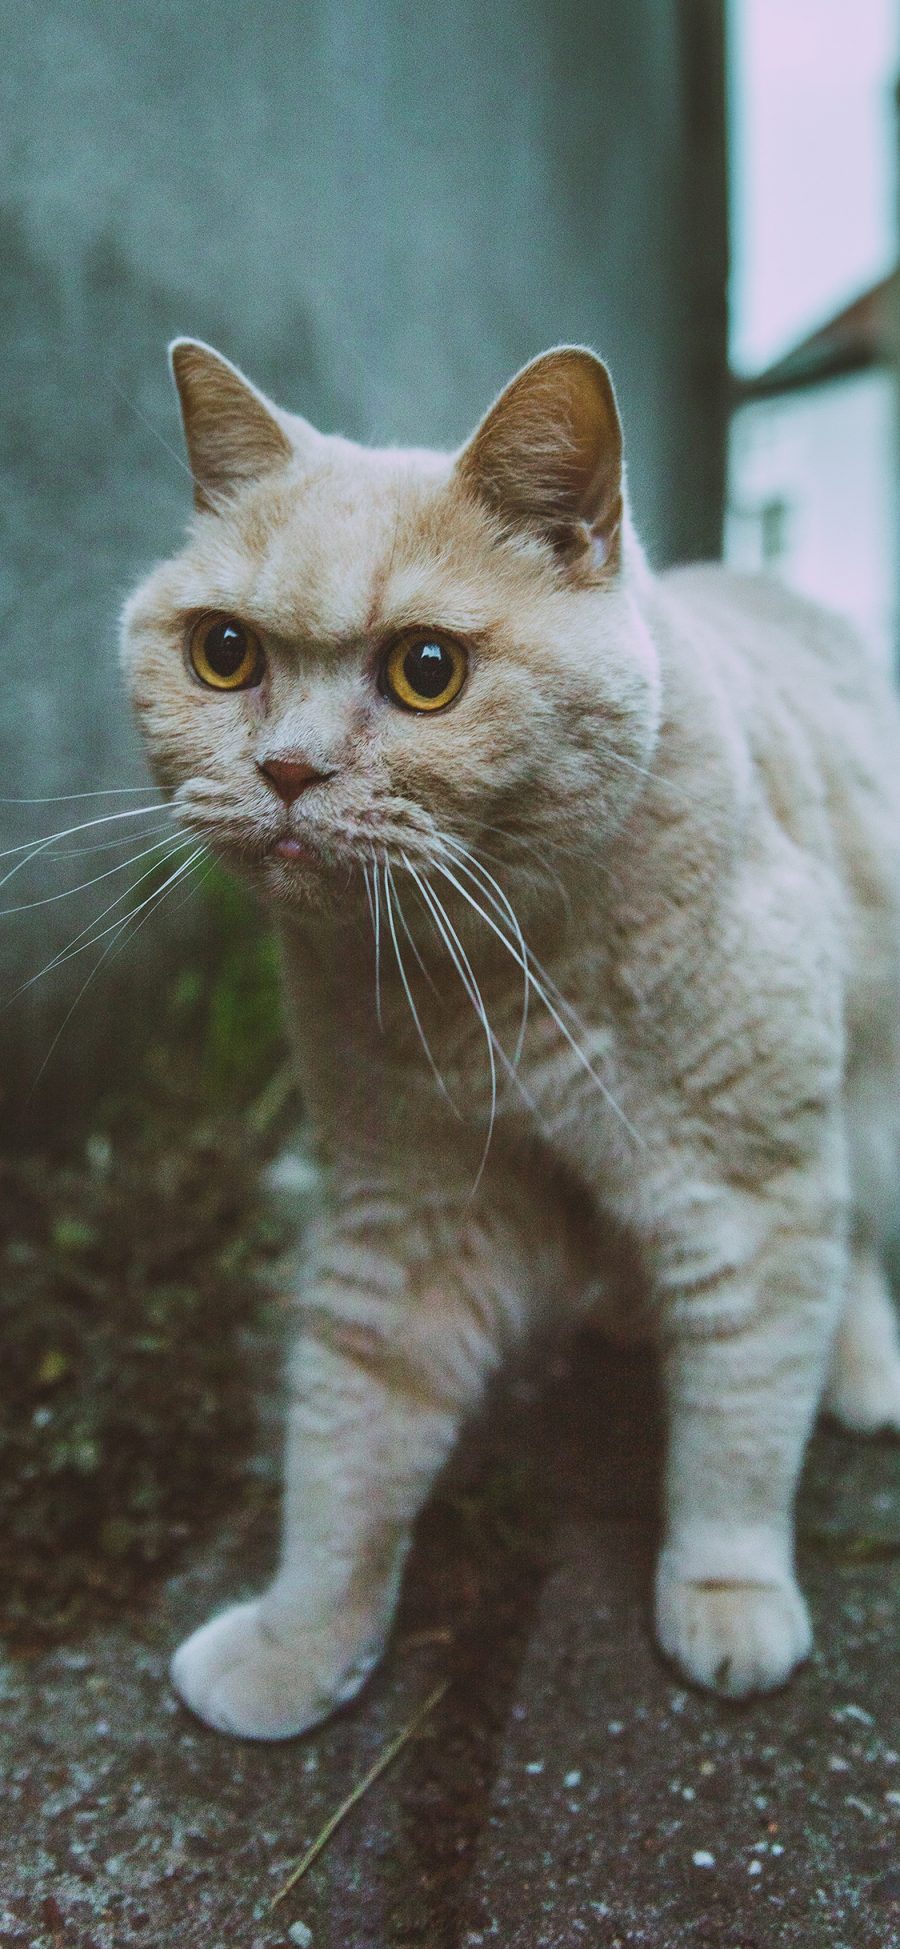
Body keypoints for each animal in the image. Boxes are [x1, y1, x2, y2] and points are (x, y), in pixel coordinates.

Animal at [121, 335, 900, 1738]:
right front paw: (299, 1641)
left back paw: (860, 1370)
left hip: (864, 1080)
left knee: (857, 1229)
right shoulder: (403, 1207)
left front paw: (728, 1597)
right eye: (223, 652)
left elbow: (740, 1419)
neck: (490, 991)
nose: (288, 771)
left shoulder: (749, 1187)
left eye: (427, 669)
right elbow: (345, 1442)